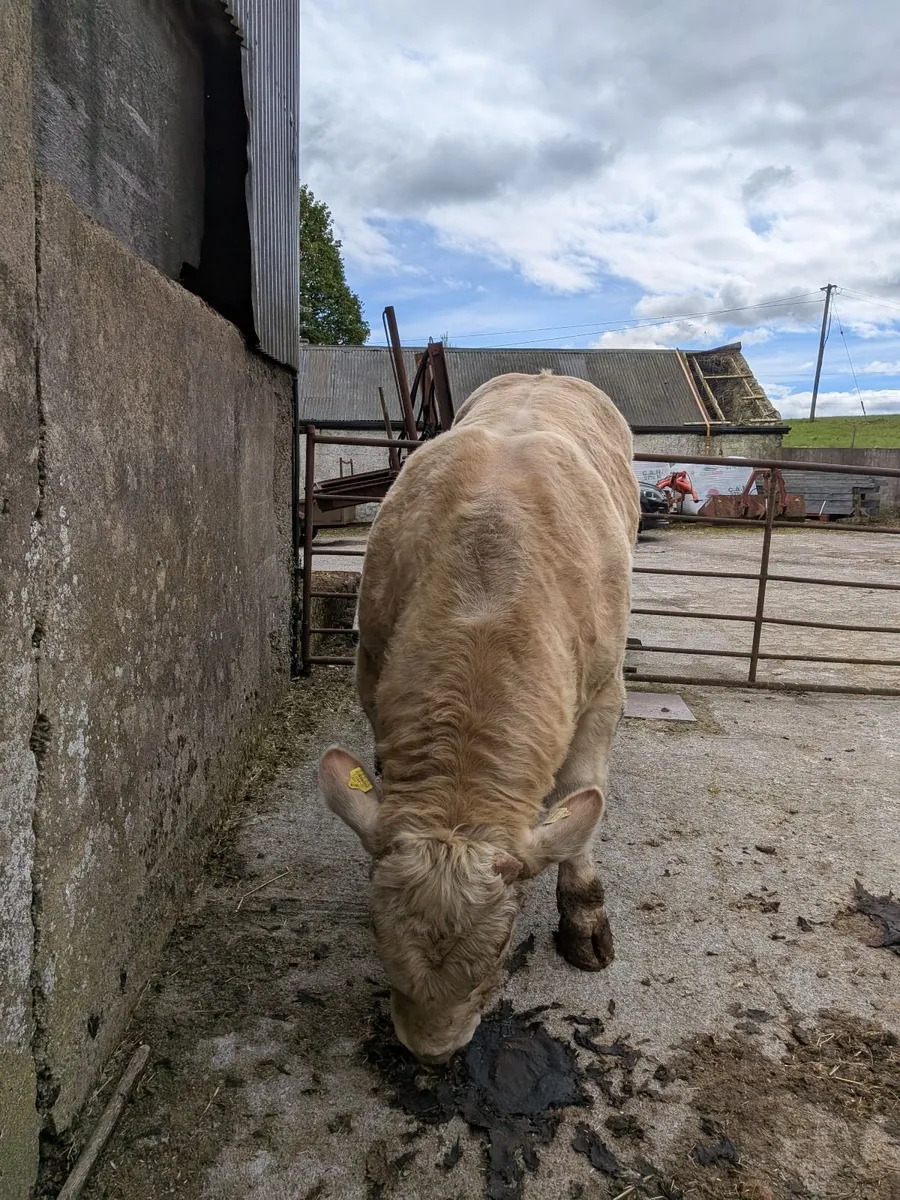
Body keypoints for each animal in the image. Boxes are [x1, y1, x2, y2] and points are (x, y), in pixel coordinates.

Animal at [319, 371, 640, 1064]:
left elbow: (582, 794)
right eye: (376, 934)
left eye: (500, 948)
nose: (431, 1051)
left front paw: (583, 916)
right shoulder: (369, 662)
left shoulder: (605, 689)